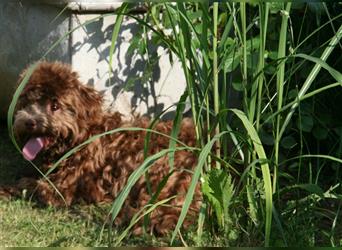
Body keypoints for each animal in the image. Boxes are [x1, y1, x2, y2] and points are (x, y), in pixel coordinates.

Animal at [12, 61, 202, 235]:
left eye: (55, 106)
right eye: (27, 103)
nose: (29, 122)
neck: (81, 138)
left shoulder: (63, 189)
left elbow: (31, 186)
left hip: (160, 175)